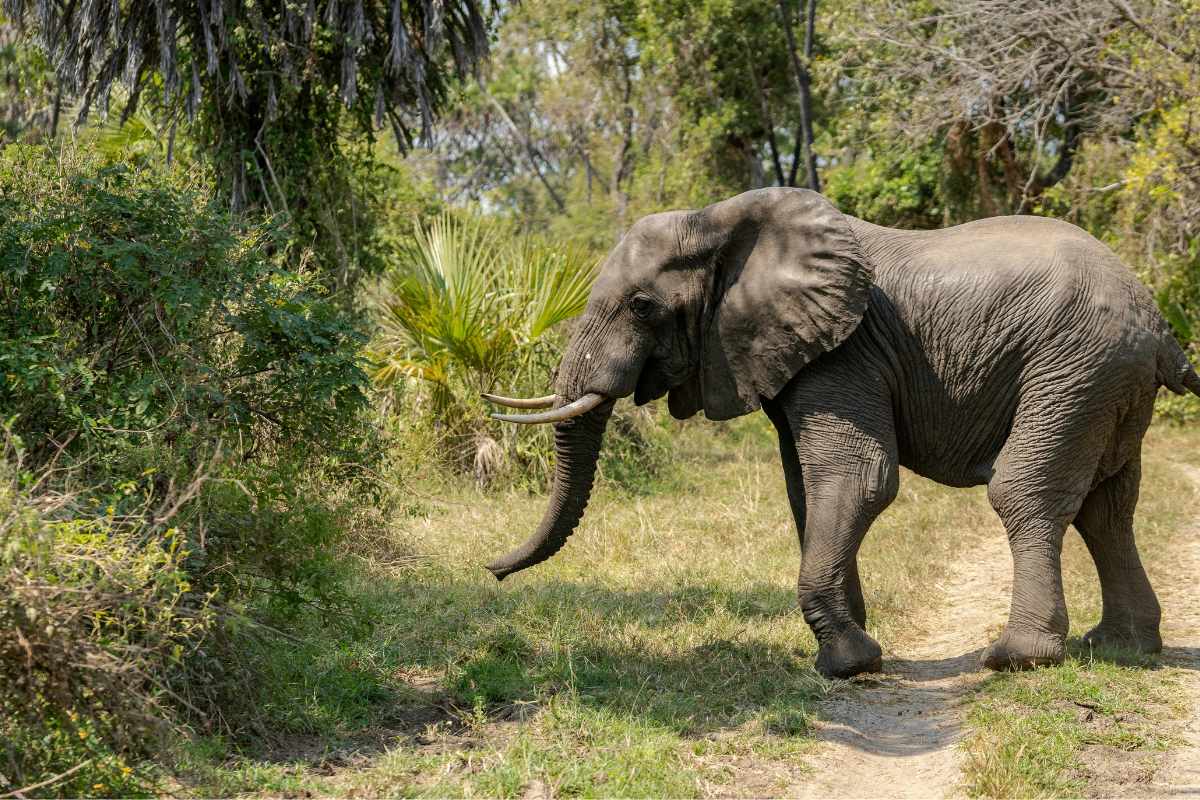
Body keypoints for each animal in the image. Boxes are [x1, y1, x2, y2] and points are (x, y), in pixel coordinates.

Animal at [481, 187, 1200, 680]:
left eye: (641, 306)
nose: (490, 570)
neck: (722, 221)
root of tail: (1159, 325)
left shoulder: (844, 352)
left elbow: (857, 478)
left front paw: (847, 664)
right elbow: (806, 489)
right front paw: (853, 645)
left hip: (1074, 368)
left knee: (1027, 493)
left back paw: (1016, 657)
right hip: (1104, 382)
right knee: (1108, 506)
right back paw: (1121, 648)